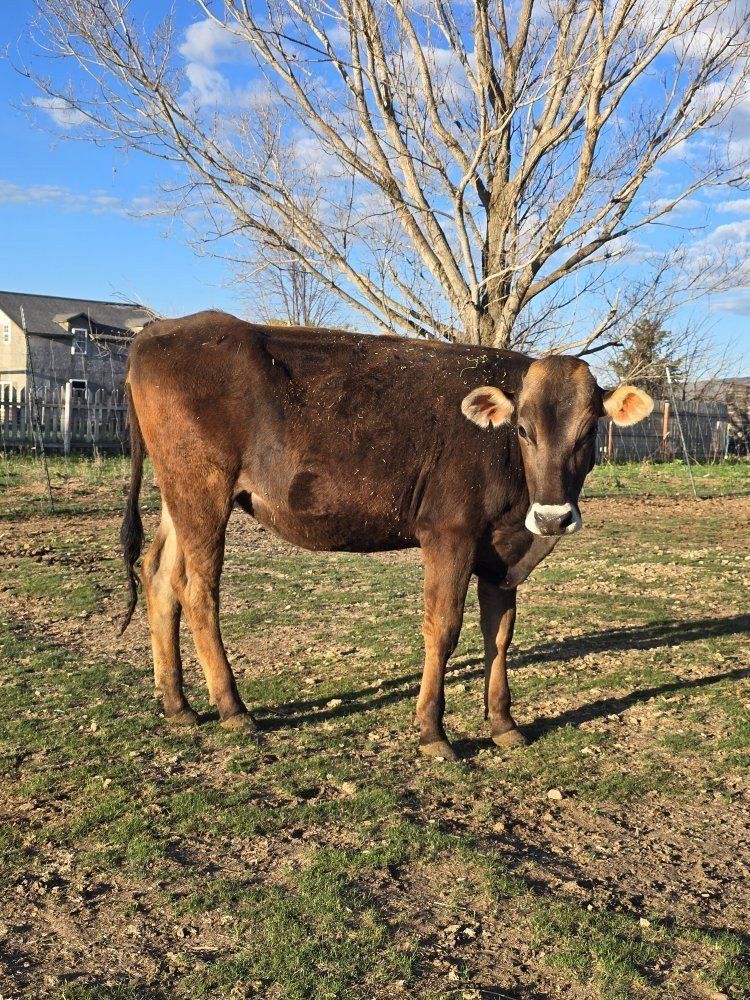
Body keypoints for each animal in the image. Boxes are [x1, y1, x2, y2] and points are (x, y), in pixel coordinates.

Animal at [120, 311, 653, 760]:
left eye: (589, 432)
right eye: (522, 430)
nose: (554, 518)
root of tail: (160, 329)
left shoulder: (503, 554)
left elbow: (499, 633)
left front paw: (504, 724)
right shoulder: (448, 534)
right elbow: (443, 628)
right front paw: (433, 733)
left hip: (177, 493)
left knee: (159, 576)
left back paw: (178, 705)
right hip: (203, 488)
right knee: (198, 591)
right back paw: (233, 708)